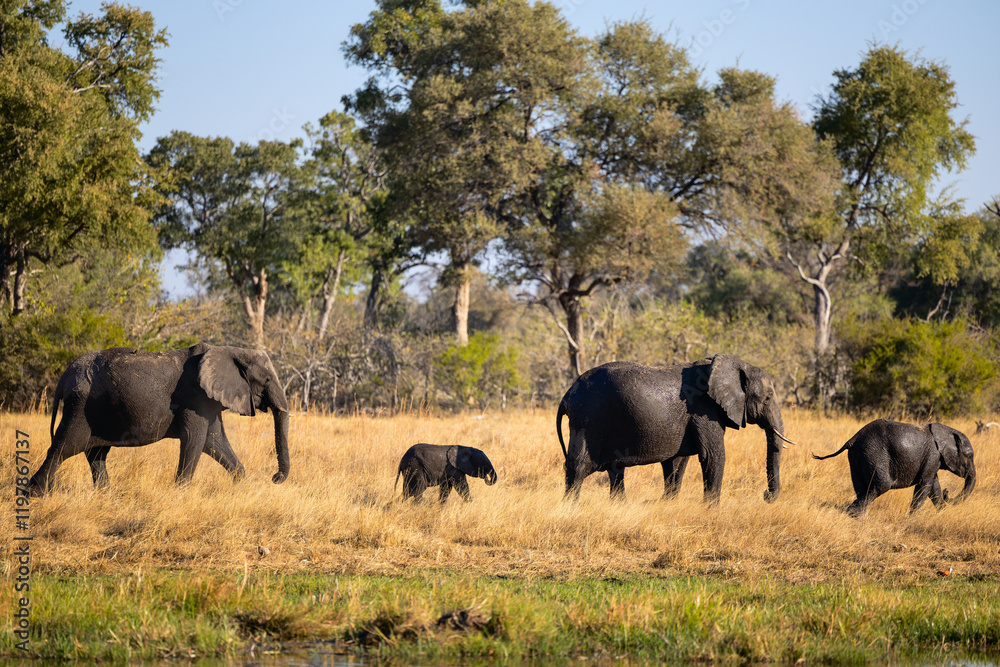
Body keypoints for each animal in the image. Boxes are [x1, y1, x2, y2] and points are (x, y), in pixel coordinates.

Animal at [28, 342, 290, 495]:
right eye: (266, 380)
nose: (275, 478)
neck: (231, 349)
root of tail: (64, 376)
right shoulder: (195, 397)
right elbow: (195, 440)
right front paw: (181, 493)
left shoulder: (209, 400)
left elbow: (214, 441)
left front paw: (242, 484)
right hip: (80, 406)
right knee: (65, 447)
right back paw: (36, 493)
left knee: (96, 453)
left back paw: (105, 495)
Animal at [556, 355, 796, 503]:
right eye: (768, 397)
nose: (766, 495)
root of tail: (567, 394)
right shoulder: (704, 411)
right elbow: (713, 455)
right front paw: (711, 510)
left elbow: (677, 462)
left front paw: (668, 502)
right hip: (587, 420)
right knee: (578, 467)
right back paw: (570, 507)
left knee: (615, 470)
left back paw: (619, 505)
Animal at [812, 419, 976, 516]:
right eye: (970, 456)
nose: (948, 493)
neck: (947, 431)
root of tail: (853, 438)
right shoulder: (933, 456)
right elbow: (924, 484)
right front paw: (911, 518)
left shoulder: (933, 460)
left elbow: (934, 486)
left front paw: (942, 513)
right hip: (875, 453)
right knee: (881, 485)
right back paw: (854, 514)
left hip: (857, 456)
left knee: (860, 486)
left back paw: (859, 515)